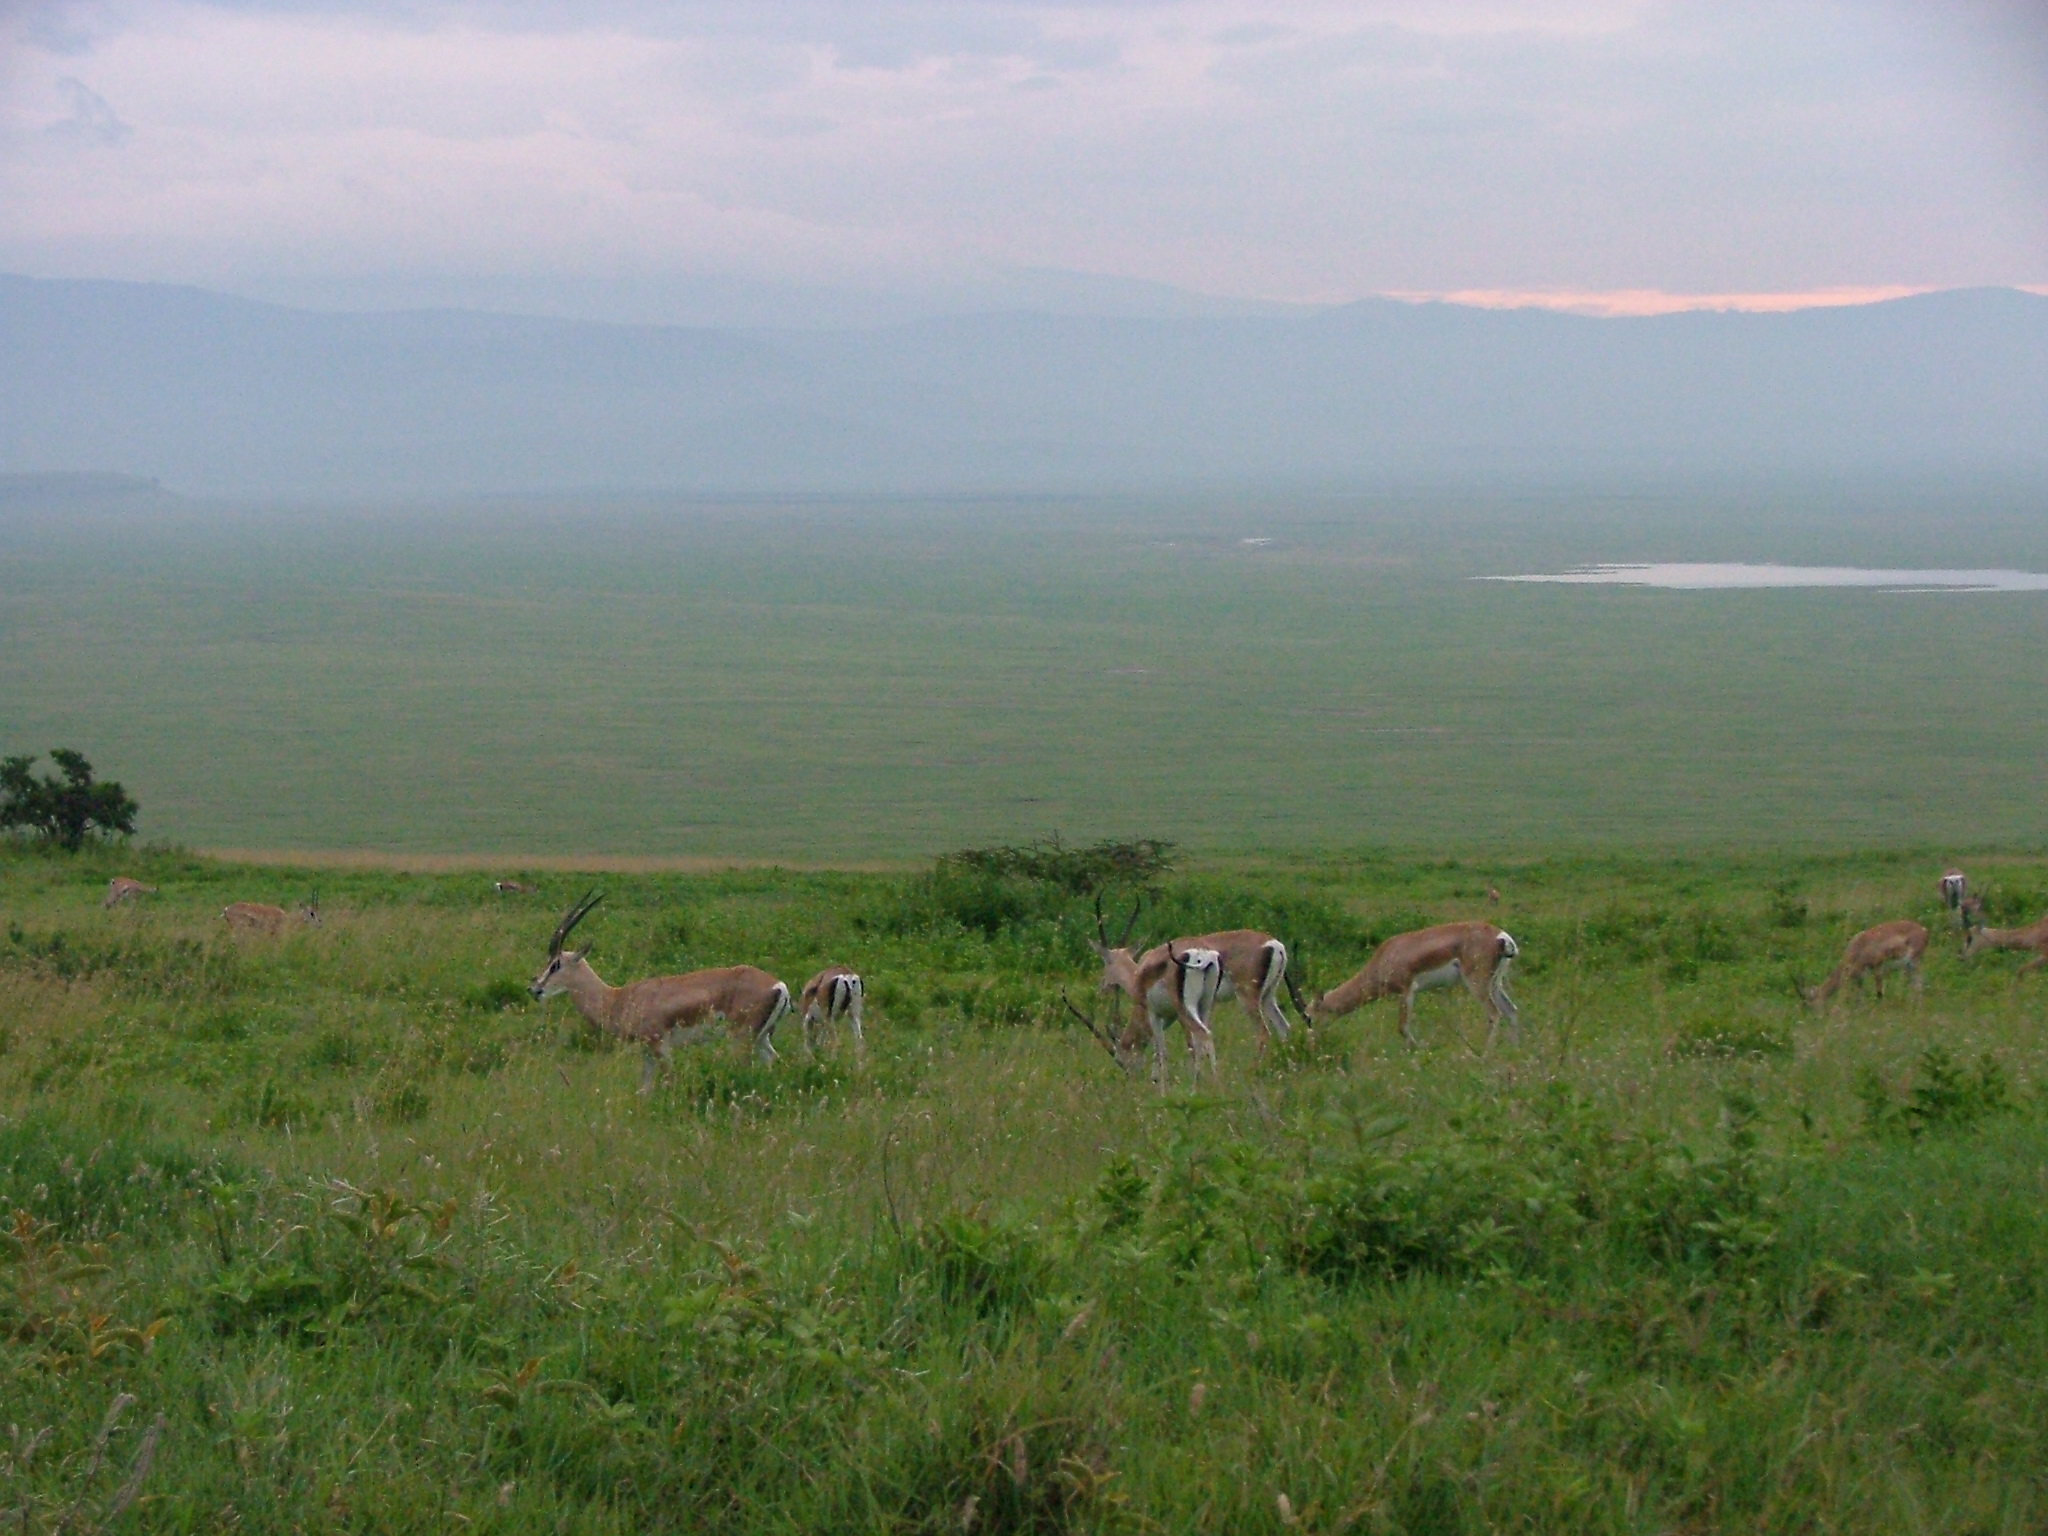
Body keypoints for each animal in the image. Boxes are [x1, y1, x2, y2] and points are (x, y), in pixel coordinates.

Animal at [527, 892, 792, 1092]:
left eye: (556, 964)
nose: (534, 989)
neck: (618, 999)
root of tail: (777, 985)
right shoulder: (647, 1053)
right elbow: (644, 1089)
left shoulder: (660, 1047)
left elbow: (668, 1081)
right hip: (761, 1038)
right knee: (773, 1060)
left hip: (740, 1039)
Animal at [1305, 921, 1520, 1049]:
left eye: (1309, 1018)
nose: (1313, 1043)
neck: (1386, 955)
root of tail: (1500, 936)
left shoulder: (1407, 989)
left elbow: (1402, 1027)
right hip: (1494, 984)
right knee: (1511, 1011)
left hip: (1477, 983)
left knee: (1494, 1014)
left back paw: (1484, 1054)